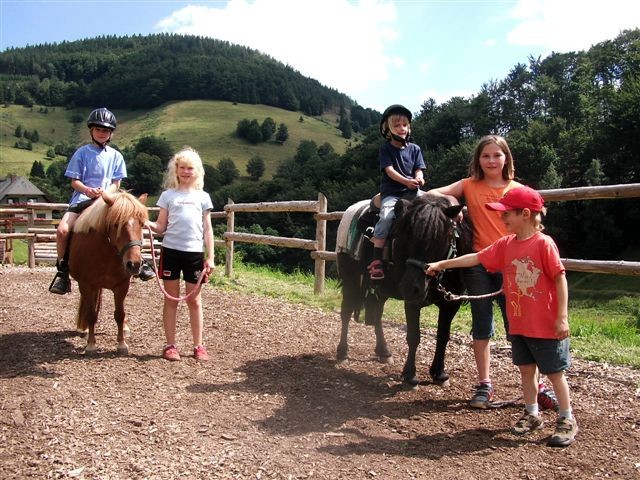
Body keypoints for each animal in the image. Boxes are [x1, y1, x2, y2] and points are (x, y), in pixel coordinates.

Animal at [68, 188, 149, 354]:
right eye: (116, 224)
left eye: (142, 224)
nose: (134, 264)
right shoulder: (86, 285)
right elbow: (91, 315)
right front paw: (91, 345)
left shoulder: (122, 285)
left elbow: (119, 314)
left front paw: (122, 344)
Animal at [335, 193, 473, 387]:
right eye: (405, 237)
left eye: (440, 239)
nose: (410, 287)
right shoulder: (412, 302)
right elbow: (414, 336)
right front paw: (410, 374)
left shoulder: (451, 304)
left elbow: (443, 336)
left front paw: (439, 373)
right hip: (350, 279)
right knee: (346, 312)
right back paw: (342, 351)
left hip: (382, 290)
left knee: (377, 314)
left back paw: (383, 351)